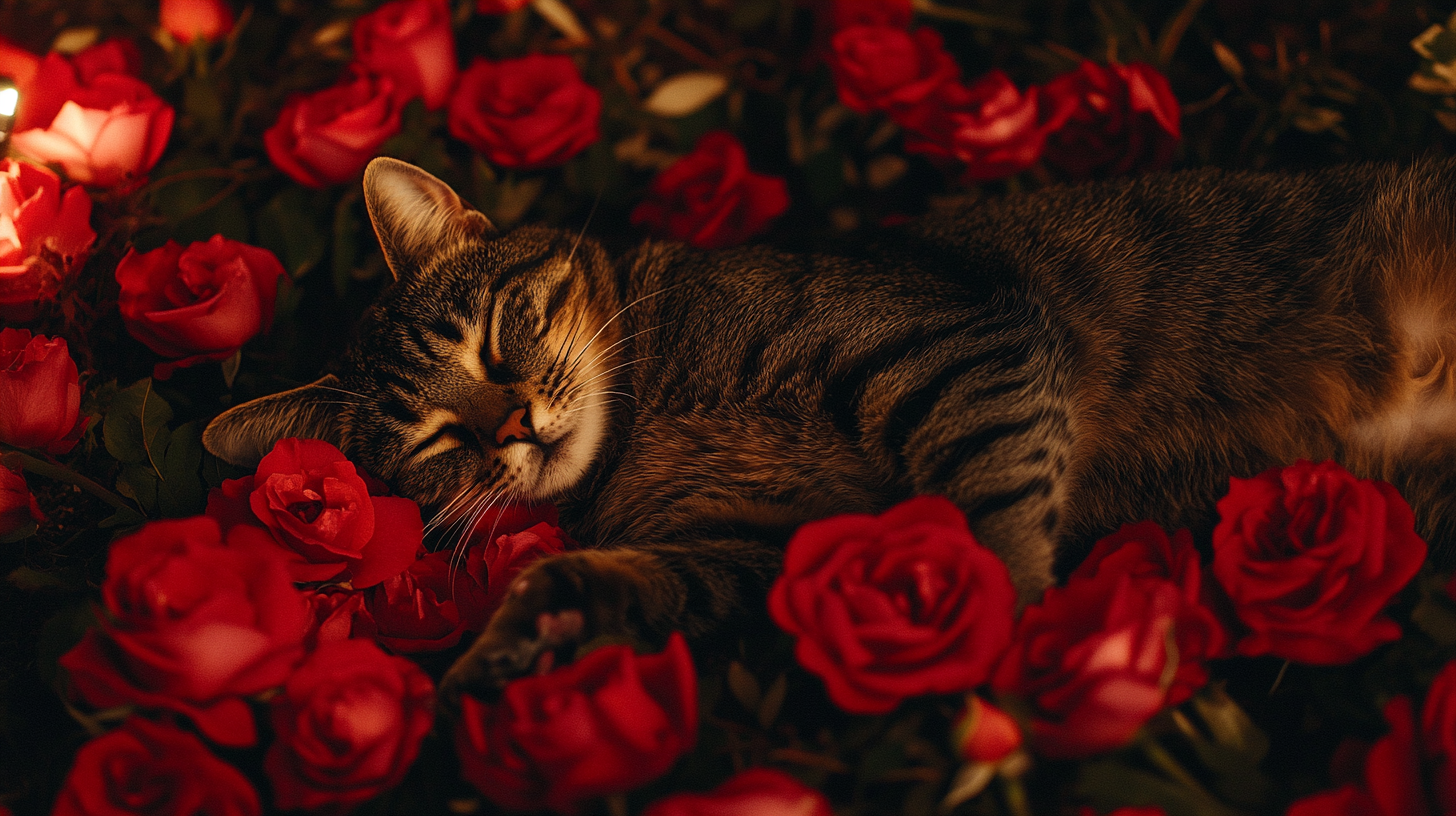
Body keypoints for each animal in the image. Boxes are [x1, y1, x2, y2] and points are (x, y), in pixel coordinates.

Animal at [202, 155, 1456, 699]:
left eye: (496, 337)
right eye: (430, 440)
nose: (510, 423)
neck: (648, 429)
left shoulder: (954, 345)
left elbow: (989, 519)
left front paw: (1006, 652)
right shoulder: (761, 548)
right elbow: (622, 580)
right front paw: (524, 638)